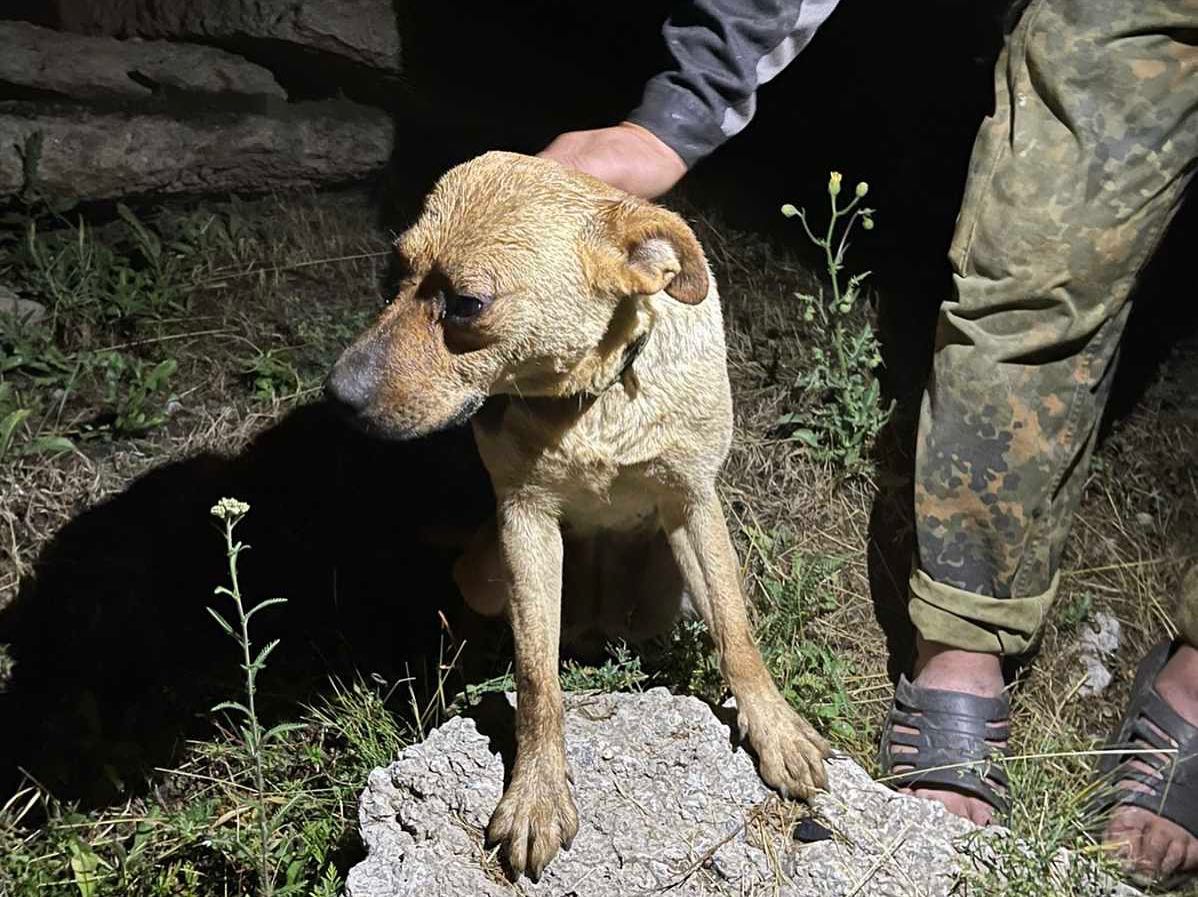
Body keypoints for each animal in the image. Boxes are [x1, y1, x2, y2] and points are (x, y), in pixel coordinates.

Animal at [328, 150, 833, 876]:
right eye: (391, 273)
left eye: (467, 304)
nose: (335, 395)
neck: (594, 400)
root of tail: (597, 619)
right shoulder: (525, 523)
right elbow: (538, 677)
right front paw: (537, 791)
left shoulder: (694, 504)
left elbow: (737, 632)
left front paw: (775, 728)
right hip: (487, 572)